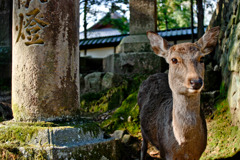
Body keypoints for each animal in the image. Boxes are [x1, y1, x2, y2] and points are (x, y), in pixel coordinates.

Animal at [138, 26, 220, 160]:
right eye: (174, 59)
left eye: (202, 58)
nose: (196, 81)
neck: (184, 145)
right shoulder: (165, 153)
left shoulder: (198, 154)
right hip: (142, 127)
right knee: (143, 145)